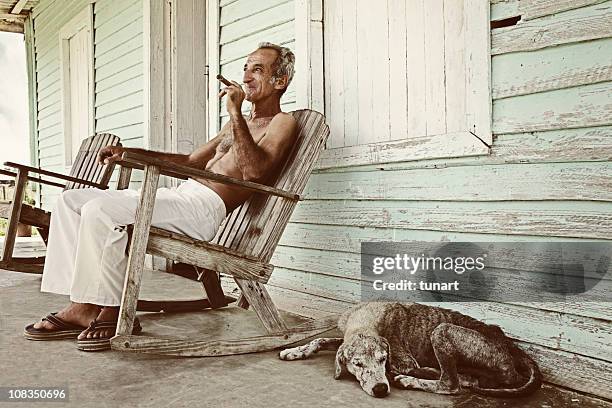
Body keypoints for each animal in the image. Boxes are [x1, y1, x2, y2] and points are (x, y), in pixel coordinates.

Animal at [280, 302, 544, 398]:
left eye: (383, 359)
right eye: (358, 364)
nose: (380, 389)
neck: (366, 318)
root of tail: (511, 346)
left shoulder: (403, 360)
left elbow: (402, 366)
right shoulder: (344, 338)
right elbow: (321, 341)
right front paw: (295, 350)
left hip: (441, 330)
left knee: (450, 383)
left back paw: (410, 380)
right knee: (468, 379)